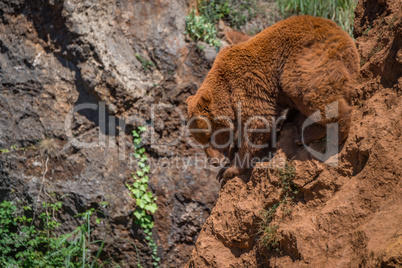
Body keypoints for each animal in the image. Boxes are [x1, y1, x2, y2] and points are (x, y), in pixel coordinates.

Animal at [187, 15, 360, 181]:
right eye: (199, 139)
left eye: (210, 136)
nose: (213, 162)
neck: (225, 88)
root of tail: (346, 38)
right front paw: (224, 167)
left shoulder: (245, 83)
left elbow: (257, 122)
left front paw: (230, 170)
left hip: (306, 59)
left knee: (310, 92)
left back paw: (325, 134)